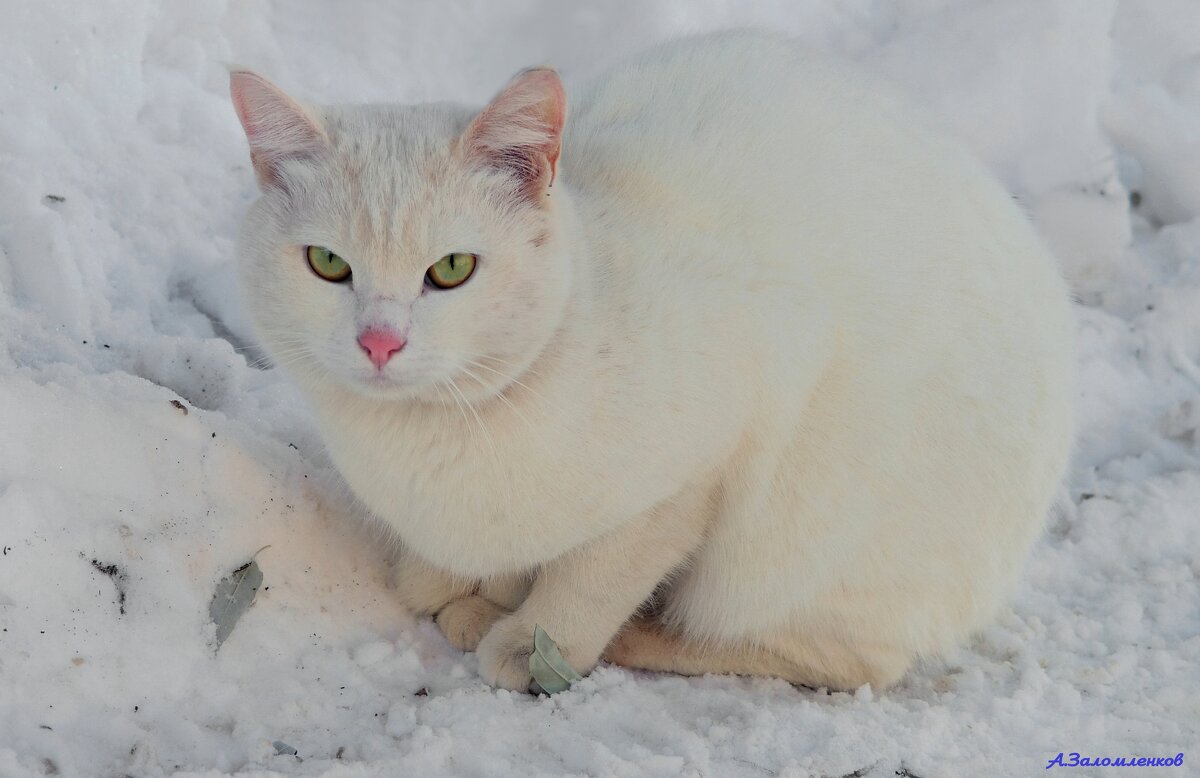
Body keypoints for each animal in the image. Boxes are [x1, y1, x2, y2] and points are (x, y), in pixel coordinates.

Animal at [231, 30, 1070, 691]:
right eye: (327, 264)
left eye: (452, 271)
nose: (379, 341)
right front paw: (463, 585)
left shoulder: (703, 463)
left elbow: (598, 573)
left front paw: (532, 637)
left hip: (810, 538)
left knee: (850, 660)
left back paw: (641, 638)